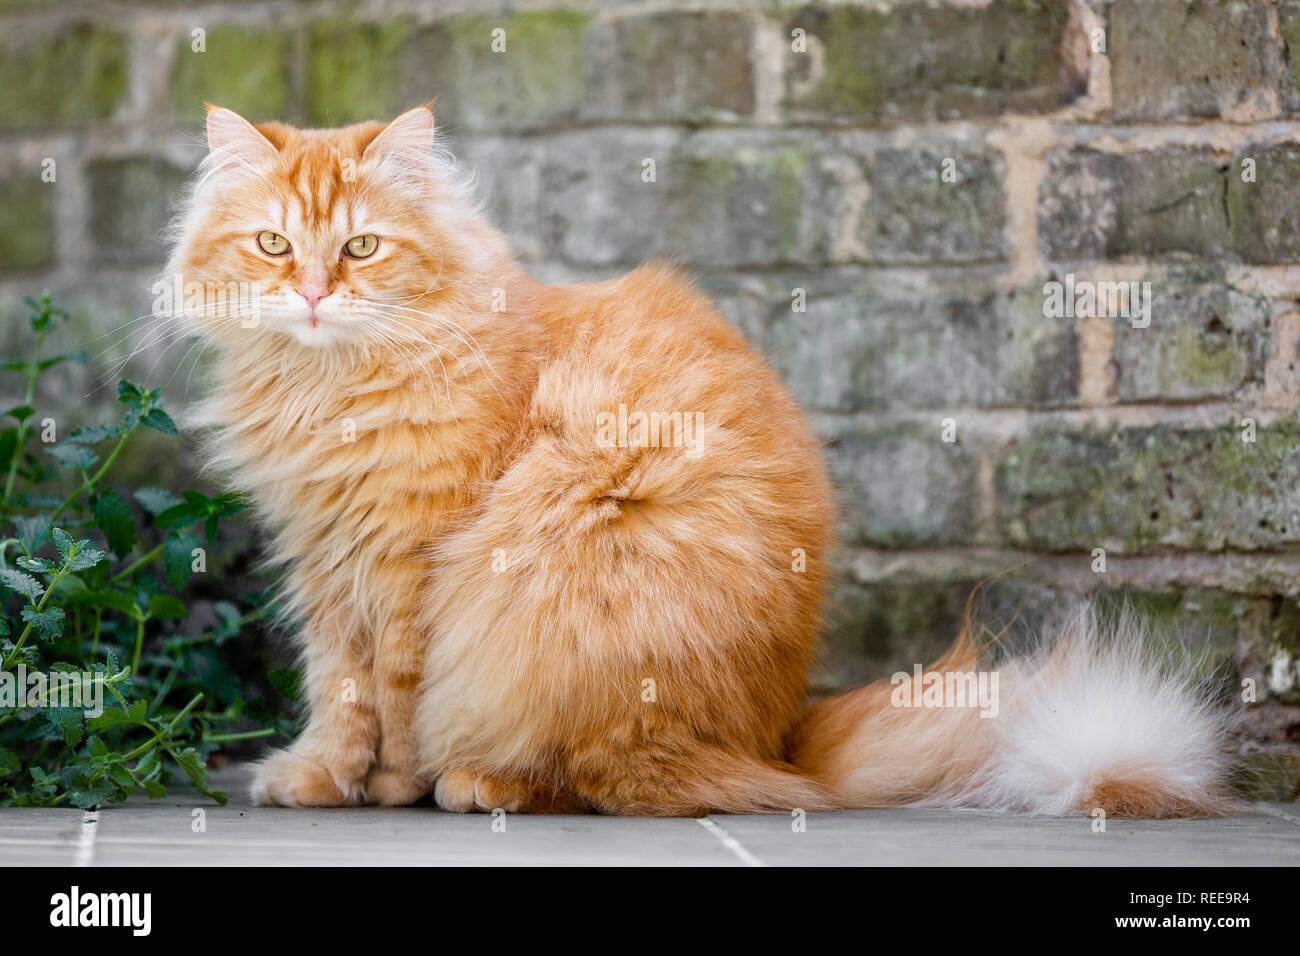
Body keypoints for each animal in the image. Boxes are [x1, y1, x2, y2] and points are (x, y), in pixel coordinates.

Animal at [162, 108, 1227, 816]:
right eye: (272, 245)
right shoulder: (327, 563)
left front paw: (387, 787)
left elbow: (393, 695)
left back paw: (479, 784)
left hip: (571, 563)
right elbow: (337, 691)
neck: (333, 392)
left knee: (610, 780)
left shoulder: (408, 563)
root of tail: (782, 740)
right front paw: (316, 777)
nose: (310, 294)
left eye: (361, 249)